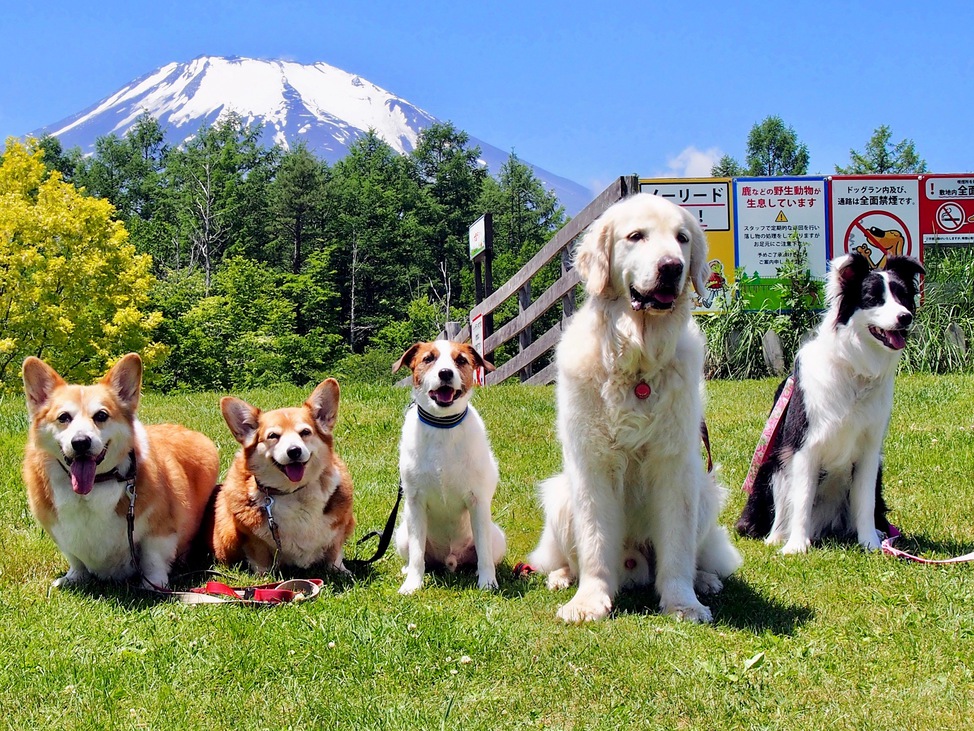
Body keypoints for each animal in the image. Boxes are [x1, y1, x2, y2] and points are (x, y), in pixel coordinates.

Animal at [21, 354, 221, 588]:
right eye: (63, 417)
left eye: (101, 415)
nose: (80, 442)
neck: (96, 484)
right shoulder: (60, 532)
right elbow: (75, 557)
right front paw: (73, 577)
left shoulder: (159, 530)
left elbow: (153, 559)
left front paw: (153, 585)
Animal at [212, 380, 356, 576]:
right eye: (273, 436)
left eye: (305, 432)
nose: (294, 451)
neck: (293, 492)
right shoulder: (252, 539)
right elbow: (260, 557)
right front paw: (264, 577)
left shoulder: (339, 529)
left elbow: (335, 551)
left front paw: (340, 571)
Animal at [394, 338, 510, 596]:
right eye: (428, 358)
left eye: (461, 360)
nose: (445, 373)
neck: (442, 426)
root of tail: (449, 560)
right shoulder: (415, 502)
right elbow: (417, 554)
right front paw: (413, 584)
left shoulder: (478, 501)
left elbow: (484, 553)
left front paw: (488, 583)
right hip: (402, 533)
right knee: (416, 555)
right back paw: (407, 571)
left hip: (497, 536)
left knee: (485, 552)